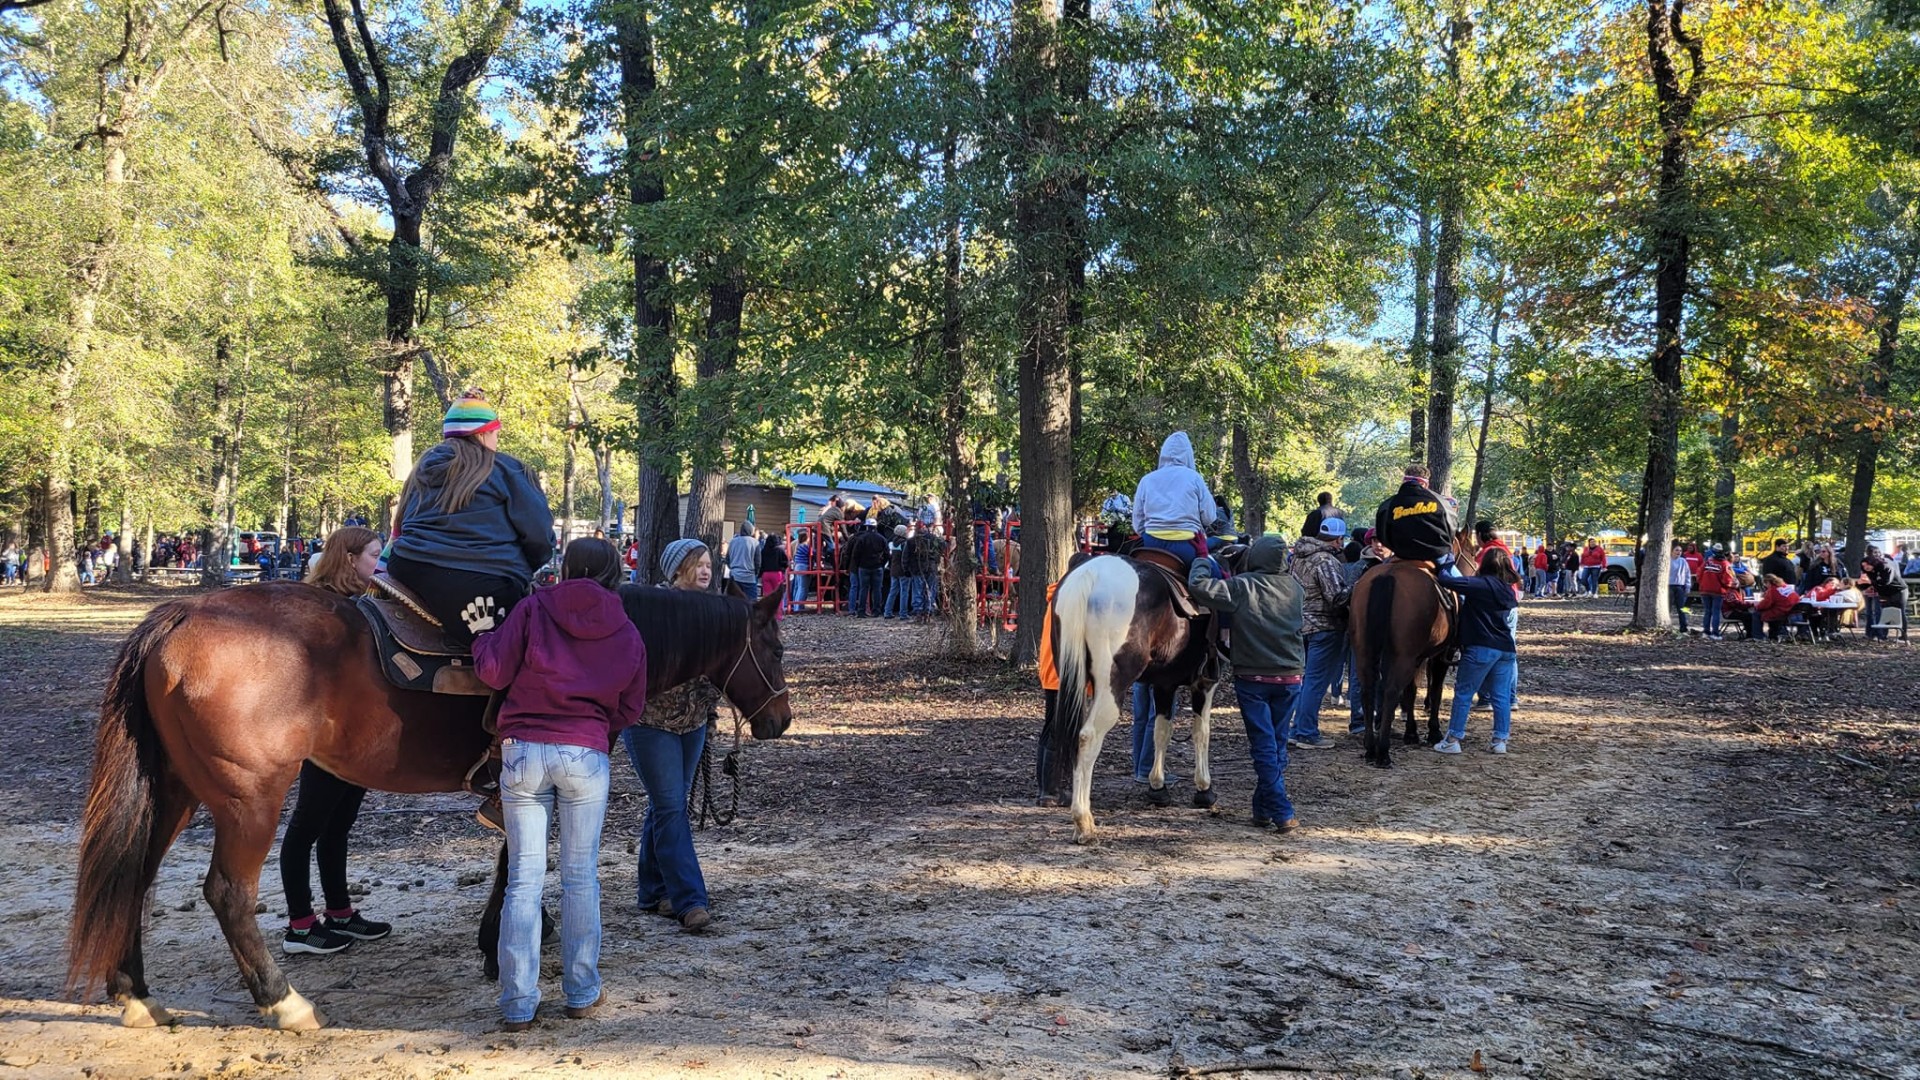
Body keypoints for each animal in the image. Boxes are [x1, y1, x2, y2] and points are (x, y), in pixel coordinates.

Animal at [67, 581, 791, 1031]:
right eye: (777, 646)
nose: (780, 719)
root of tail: (182, 615)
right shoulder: (538, 779)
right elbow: (517, 858)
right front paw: (506, 945)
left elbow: (511, 856)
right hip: (250, 798)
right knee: (227, 893)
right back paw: (284, 1004)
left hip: (173, 793)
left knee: (134, 879)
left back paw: (136, 995)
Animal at [1042, 551, 1226, 844]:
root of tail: (1088, 575)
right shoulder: (1205, 684)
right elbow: (1201, 733)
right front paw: (1204, 789)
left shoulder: (1164, 685)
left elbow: (1161, 731)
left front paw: (1158, 787)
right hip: (1111, 688)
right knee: (1087, 737)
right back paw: (1083, 822)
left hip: (1071, 682)